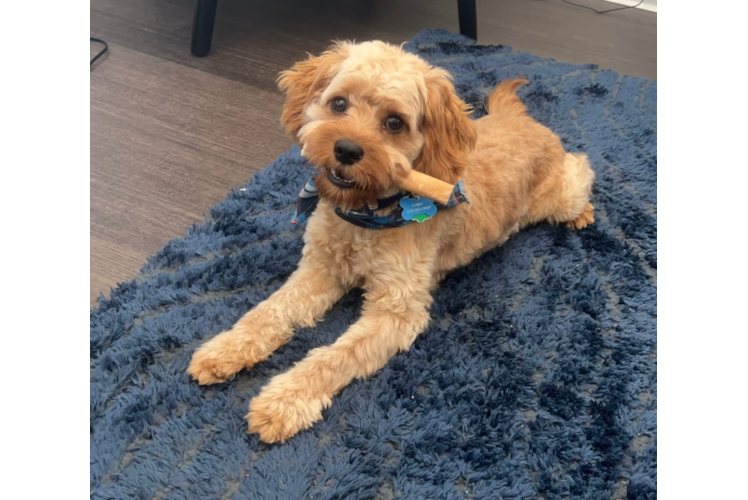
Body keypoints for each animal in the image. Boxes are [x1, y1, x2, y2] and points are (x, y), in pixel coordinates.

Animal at [187, 41, 596, 444]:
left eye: (395, 122)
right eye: (339, 103)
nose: (346, 149)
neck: (364, 218)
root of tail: (523, 121)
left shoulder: (396, 312)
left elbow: (334, 357)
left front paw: (284, 401)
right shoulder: (319, 269)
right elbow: (269, 309)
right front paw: (226, 348)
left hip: (564, 193)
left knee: (581, 167)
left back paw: (583, 212)